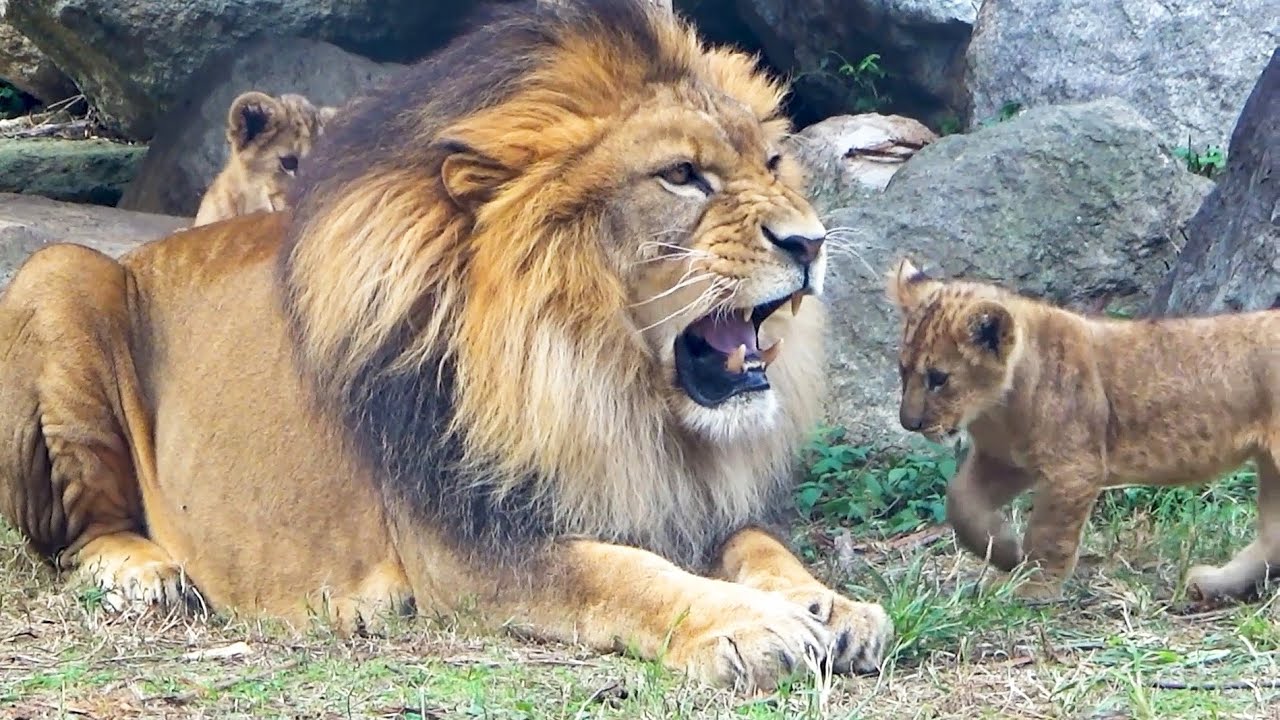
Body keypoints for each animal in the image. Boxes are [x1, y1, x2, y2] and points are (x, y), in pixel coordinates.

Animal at [885, 257, 1280, 602]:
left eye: (938, 378)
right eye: (902, 370)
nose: (909, 423)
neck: (996, 410)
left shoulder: (1073, 470)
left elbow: (1048, 533)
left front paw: (1033, 586)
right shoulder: (1006, 461)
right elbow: (960, 501)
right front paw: (1007, 551)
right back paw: (1215, 583)